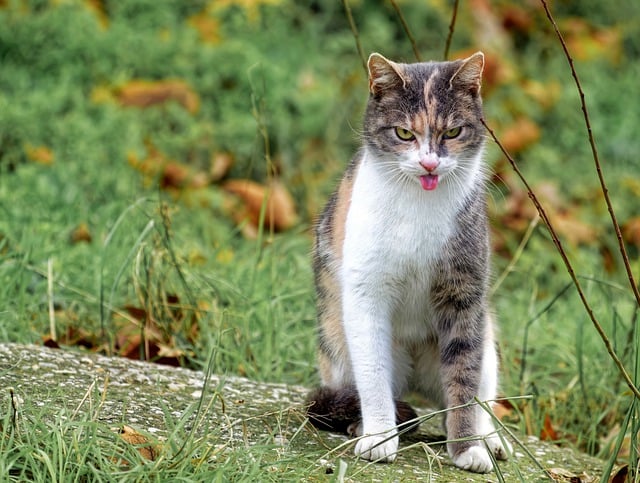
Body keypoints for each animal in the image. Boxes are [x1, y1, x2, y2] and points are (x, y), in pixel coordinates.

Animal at [304, 52, 510, 472]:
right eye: (403, 133)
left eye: (452, 132)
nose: (429, 164)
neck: (420, 205)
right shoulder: (366, 295)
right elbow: (373, 376)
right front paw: (379, 437)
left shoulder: (464, 294)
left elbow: (464, 377)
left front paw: (467, 448)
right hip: (338, 343)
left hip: (488, 339)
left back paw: (490, 439)